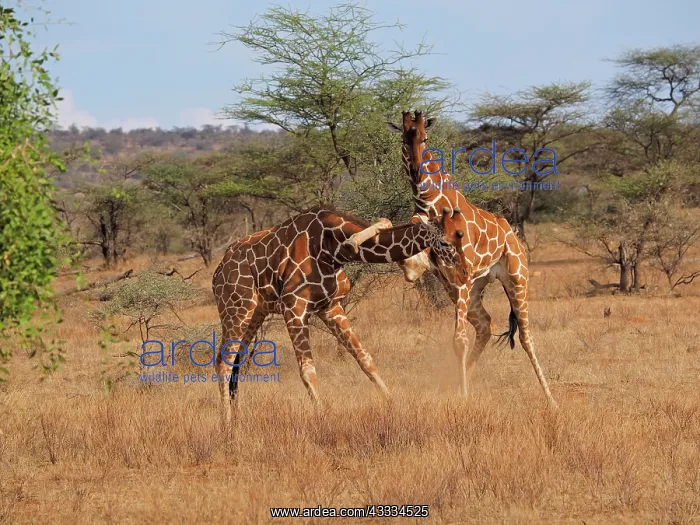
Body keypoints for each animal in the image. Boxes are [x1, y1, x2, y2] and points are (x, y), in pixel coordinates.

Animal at [211, 205, 469, 421]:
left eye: (462, 235)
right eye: (445, 242)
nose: (465, 273)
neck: (329, 247)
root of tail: (217, 274)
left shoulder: (330, 306)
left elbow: (365, 358)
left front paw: (392, 403)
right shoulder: (294, 306)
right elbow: (308, 370)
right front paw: (323, 418)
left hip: (255, 313)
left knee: (234, 362)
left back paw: (236, 417)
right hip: (236, 310)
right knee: (223, 363)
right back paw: (226, 424)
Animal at [387, 110, 557, 408]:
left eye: (425, 138)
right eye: (403, 139)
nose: (417, 172)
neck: (430, 202)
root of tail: (512, 234)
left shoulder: (461, 276)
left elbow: (459, 341)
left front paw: (464, 398)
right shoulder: (450, 276)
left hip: (515, 278)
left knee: (525, 335)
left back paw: (551, 399)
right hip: (472, 287)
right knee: (486, 325)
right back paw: (456, 385)